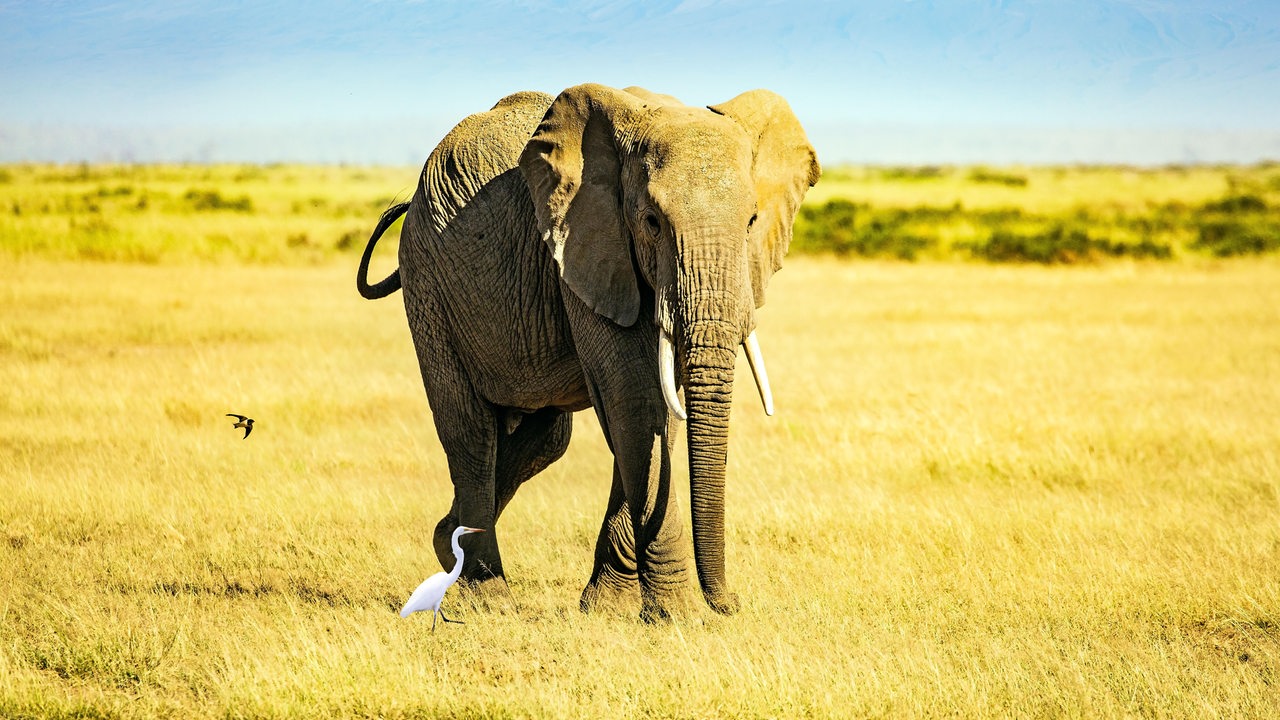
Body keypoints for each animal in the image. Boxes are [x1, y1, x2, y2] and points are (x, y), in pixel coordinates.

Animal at [360, 81, 819, 614]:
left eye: (751, 221)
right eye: (651, 222)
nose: (730, 603)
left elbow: (656, 412)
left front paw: (607, 606)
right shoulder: (584, 248)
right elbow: (634, 399)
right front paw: (679, 615)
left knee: (547, 438)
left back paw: (448, 541)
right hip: (428, 285)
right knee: (470, 430)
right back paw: (489, 594)